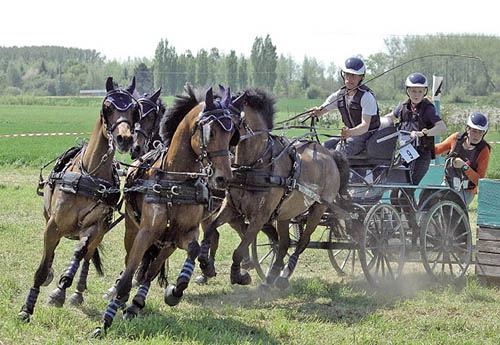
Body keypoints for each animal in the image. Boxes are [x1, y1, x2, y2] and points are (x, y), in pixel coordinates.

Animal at [18, 76, 140, 322]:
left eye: (134, 110)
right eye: (108, 107)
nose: (124, 138)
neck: (89, 176)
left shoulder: (95, 227)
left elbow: (81, 252)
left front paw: (62, 288)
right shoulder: (53, 225)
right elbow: (43, 266)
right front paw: (27, 307)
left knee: (87, 256)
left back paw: (75, 291)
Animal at [94, 85, 243, 336]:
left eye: (232, 132)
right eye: (210, 132)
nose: (223, 177)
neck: (174, 180)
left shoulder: (180, 235)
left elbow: (193, 250)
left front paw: (175, 291)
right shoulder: (146, 233)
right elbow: (128, 275)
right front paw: (105, 321)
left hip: (168, 243)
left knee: (151, 271)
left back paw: (136, 304)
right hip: (133, 230)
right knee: (131, 262)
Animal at [199, 86, 352, 288]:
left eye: (226, 124)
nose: (210, 162)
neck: (256, 164)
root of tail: (331, 155)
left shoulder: (260, 216)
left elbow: (240, 249)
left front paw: (239, 275)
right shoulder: (230, 207)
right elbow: (210, 229)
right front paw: (205, 264)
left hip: (318, 208)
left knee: (302, 241)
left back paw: (284, 275)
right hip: (285, 213)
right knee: (285, 243)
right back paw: (272, 274)